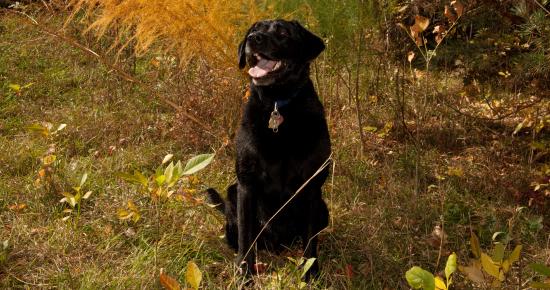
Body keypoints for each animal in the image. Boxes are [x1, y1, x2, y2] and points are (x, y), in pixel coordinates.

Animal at [208, 19, 332, 278]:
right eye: (254, 29)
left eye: (283, 32)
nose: (253, 39)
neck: (277, 105)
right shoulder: (246, 185)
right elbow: (246, 240)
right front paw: (244, 274)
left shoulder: (312, 186)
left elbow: (310, 241)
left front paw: (310, 274)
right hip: (233, 193)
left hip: (323, 209)